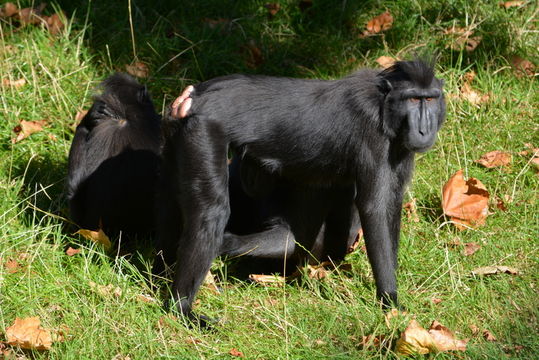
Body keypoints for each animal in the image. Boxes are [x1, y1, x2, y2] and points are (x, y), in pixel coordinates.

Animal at [161, 57, 448, 322]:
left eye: (430, 99)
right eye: (414, 100)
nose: (424, 130)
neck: (383, 103)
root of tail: (198, 94)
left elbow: (392, 207)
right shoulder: (373, 136)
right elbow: (376, 210)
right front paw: (390, 300)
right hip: (204, 131)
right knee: (212, 213)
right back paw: (182, 308)